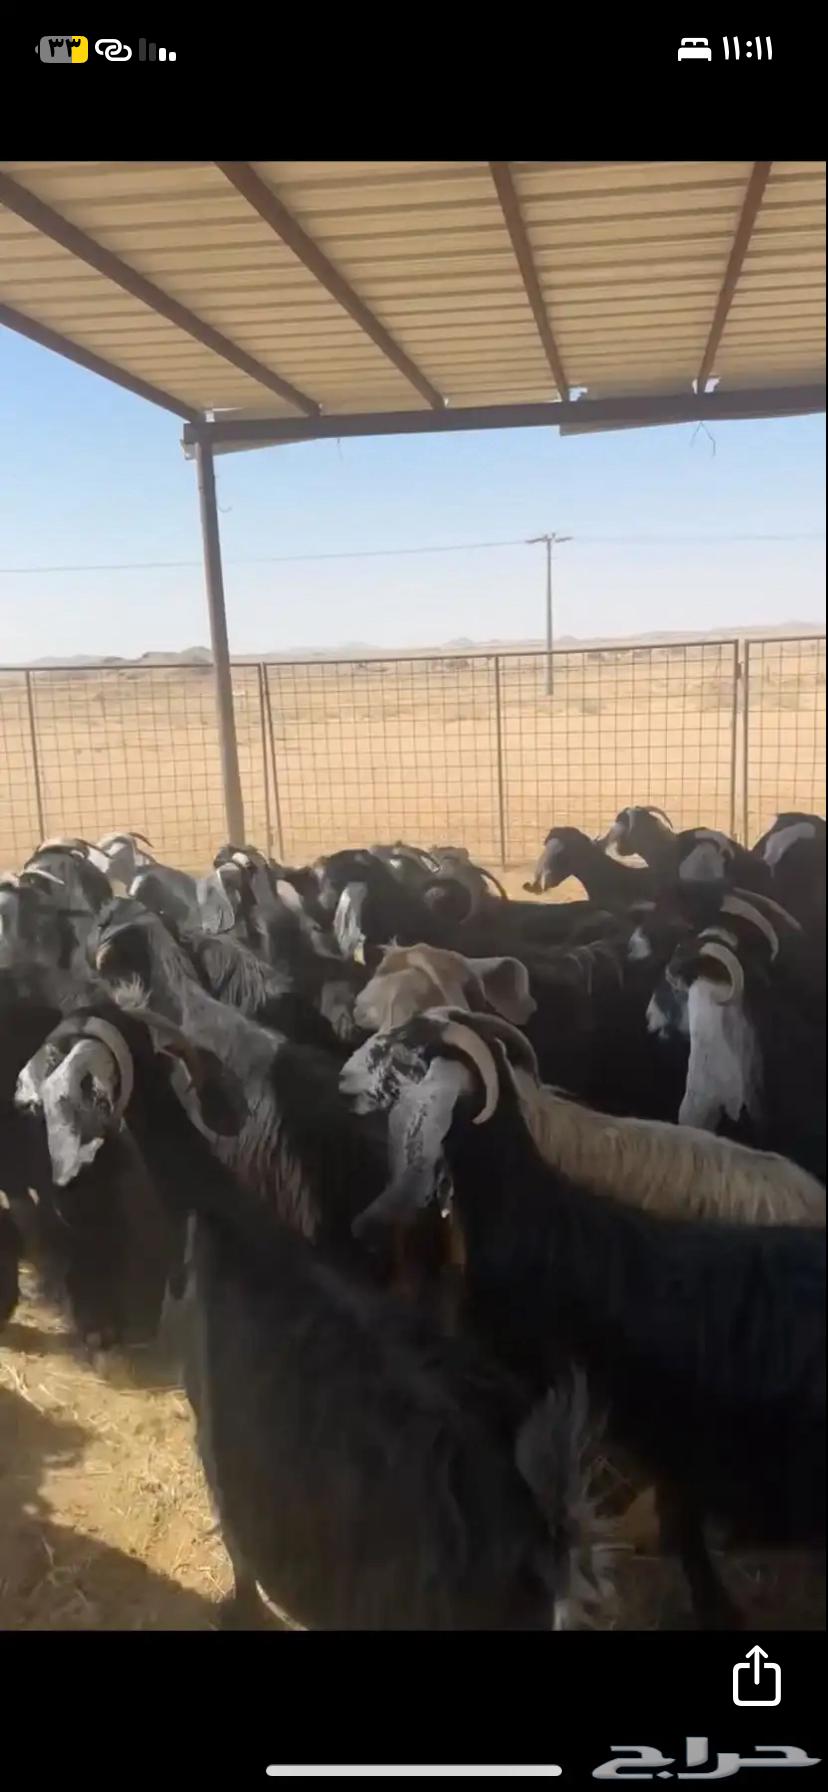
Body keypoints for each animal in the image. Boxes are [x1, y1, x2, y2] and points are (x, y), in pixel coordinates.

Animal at [16, 1001, 609, 1632]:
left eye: (55, 1050)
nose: (18, 1087)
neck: (216, 1212)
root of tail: (547, 1537)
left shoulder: (211, 1419)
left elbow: (237, 1543)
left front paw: (238, 1609)